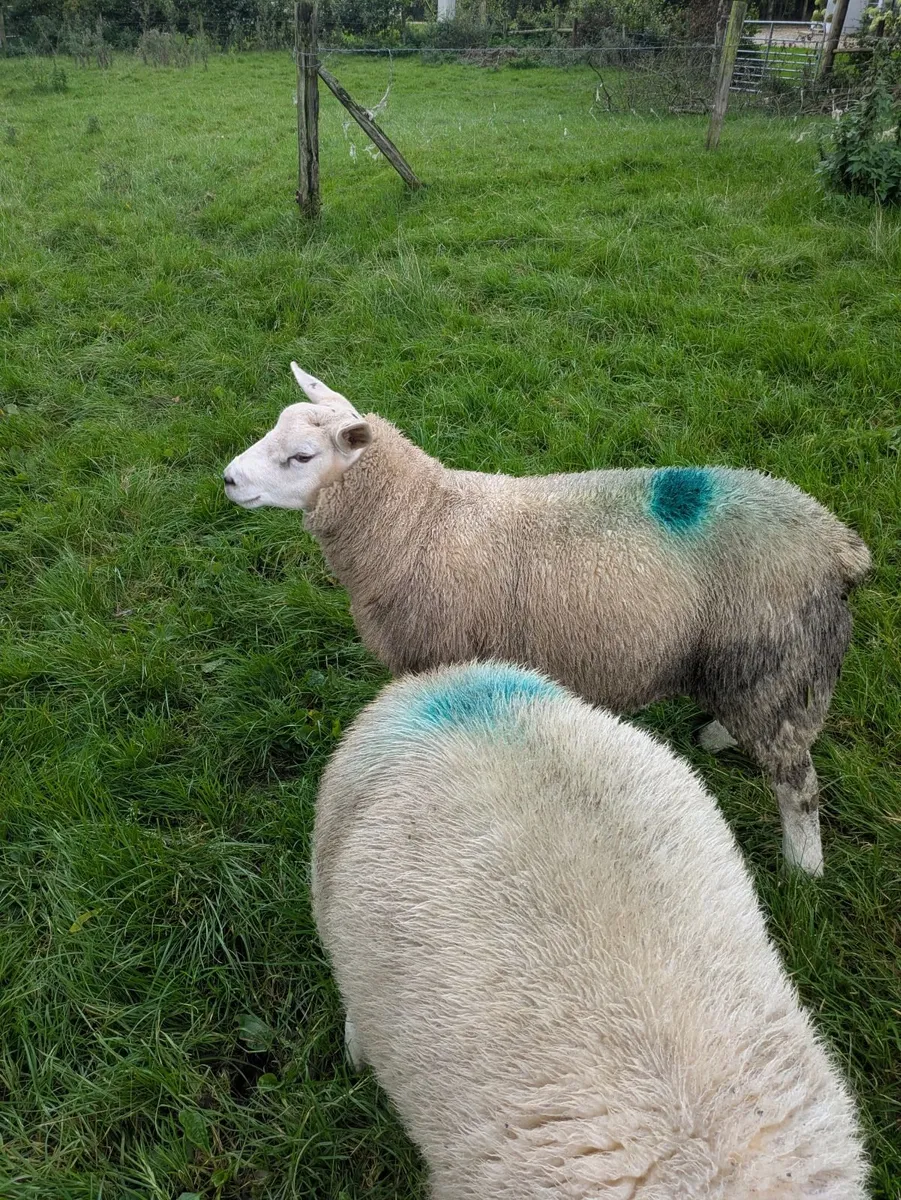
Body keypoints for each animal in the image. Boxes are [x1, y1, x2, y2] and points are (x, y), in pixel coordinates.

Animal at [223, 364, 872, 875]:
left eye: (302, 457)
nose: (228, 479)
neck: (418, 520)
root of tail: (838, 544)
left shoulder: (439, 657)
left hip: (771, 654)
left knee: (798, 784)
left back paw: (803, 870)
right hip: (756, 664)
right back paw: (718, 736)